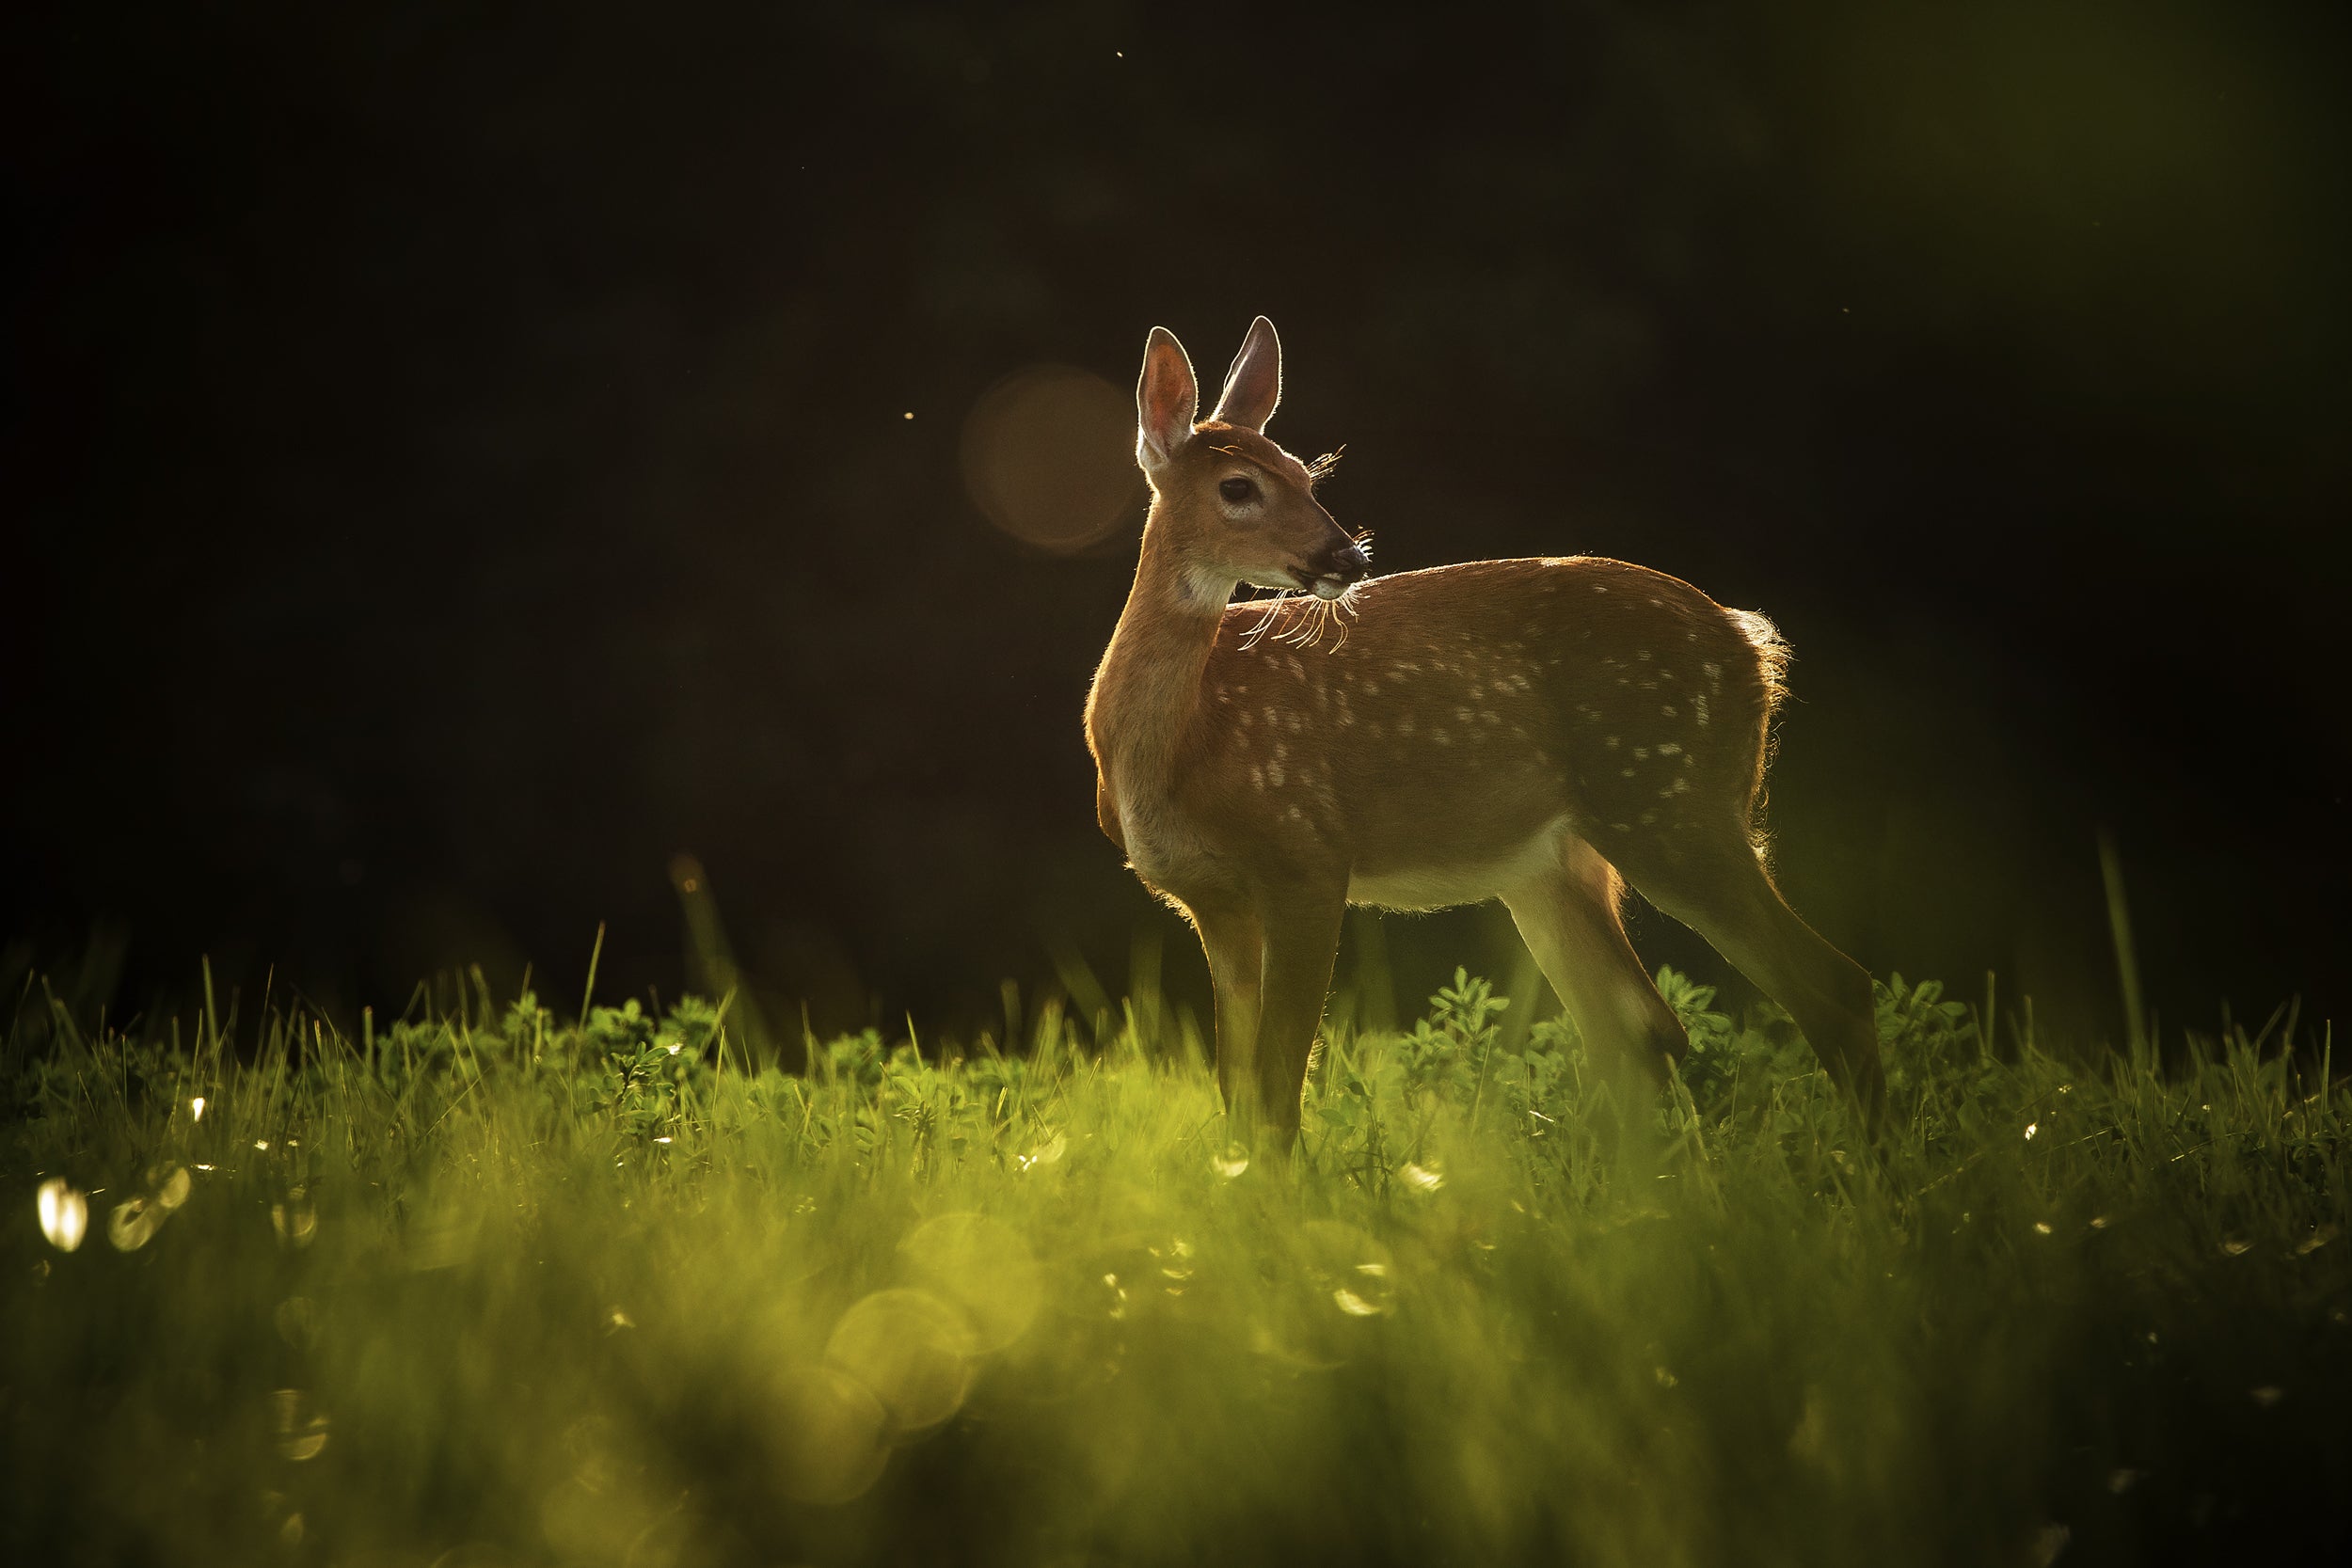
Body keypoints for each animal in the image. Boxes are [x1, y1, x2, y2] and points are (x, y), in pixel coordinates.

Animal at [1084, 317, 1887, 1150]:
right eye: (1239, 486)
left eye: (1307, 476)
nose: (1349, 555)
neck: (1182, 746)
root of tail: (1750, 642)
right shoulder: (1213, 901)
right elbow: (1237, 1090)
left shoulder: (1306, 856)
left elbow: (1276, 1089)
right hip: (1557, 859)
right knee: (1640, 1030)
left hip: (1666, 798)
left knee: (1830, 983)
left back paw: (1867, 1168)